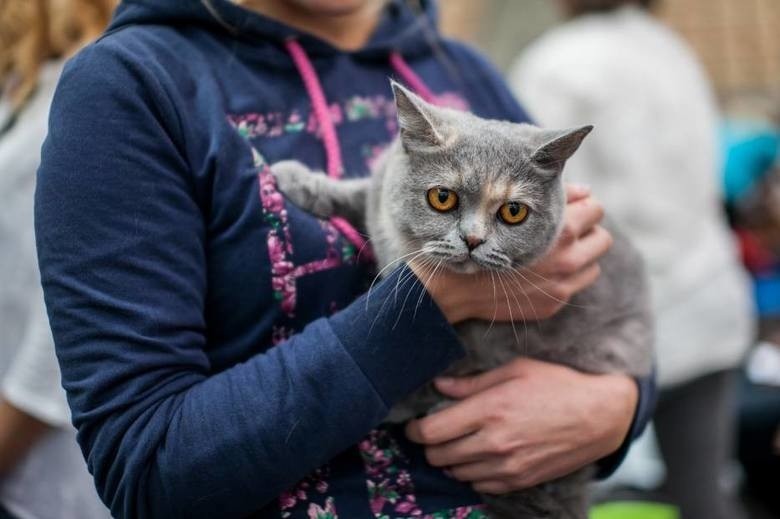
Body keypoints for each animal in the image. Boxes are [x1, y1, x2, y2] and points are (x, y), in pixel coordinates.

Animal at [272, 82, 656, 519]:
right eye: (442, 197)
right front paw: (296, 178)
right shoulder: (380, 193)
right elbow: (362, 192)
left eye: (513, 211)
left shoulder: (493, 343)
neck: (399, 248)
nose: (473, 239)